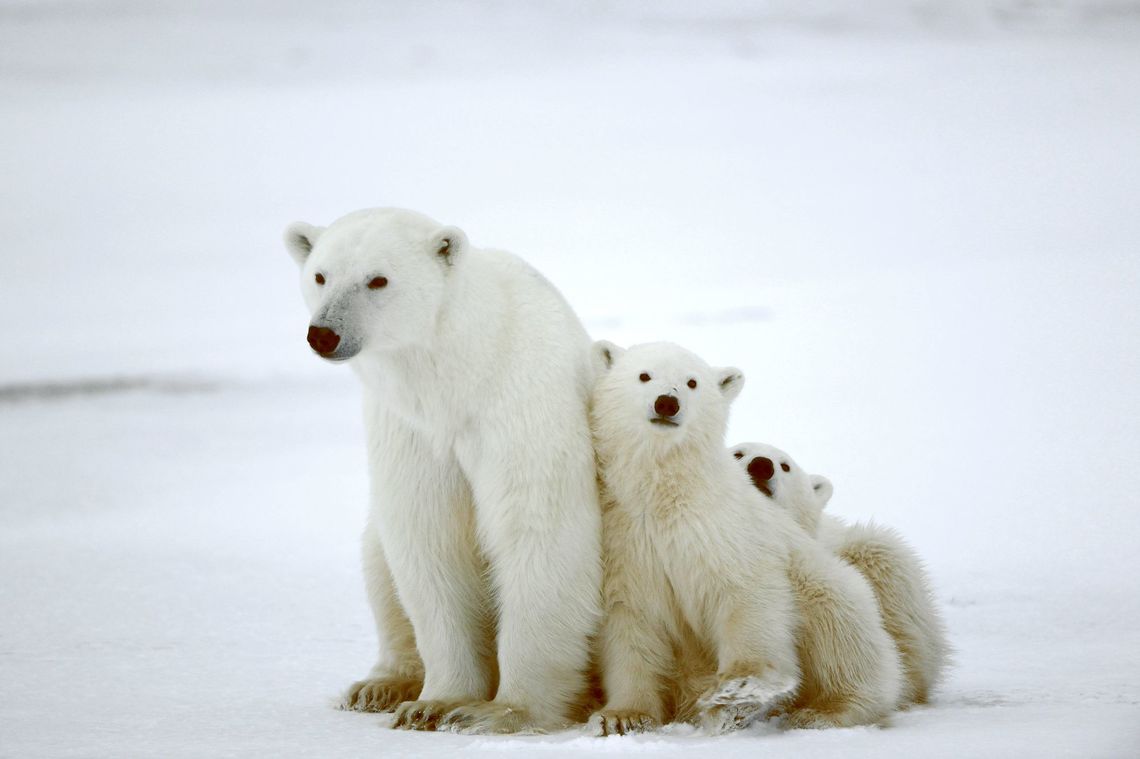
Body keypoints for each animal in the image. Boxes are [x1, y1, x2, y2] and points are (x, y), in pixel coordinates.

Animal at [282, 208, 606, 733]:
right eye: (320, 275)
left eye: (378, 279)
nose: (324, 334)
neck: (461, 372)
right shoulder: (411, 429)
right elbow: (429, 539)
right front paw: (434, 704)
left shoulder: (522, 404)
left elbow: (538, 531)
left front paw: (500, 711)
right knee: (378, 559)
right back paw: (379, 686)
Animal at [588, 341, 898, 733]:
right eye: (644, 375)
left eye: (692, 382)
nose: (667, 403)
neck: (666, 494)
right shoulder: (627, 540)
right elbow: (631, 623)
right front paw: (621, 716)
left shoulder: (726, 528)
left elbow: (746, 594)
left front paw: (737, 694)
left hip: (826, 584)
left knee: (840, 631)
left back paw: (825, 711)